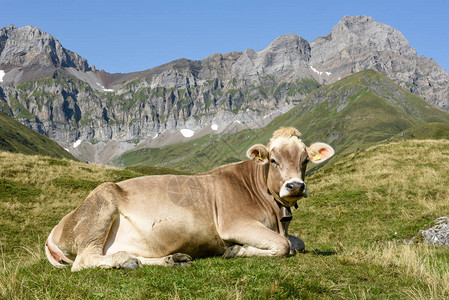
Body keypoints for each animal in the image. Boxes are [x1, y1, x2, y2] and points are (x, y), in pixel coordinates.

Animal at [45, 127, 332, 270]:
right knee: (83, 261)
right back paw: (124, 261)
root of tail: (57, 228)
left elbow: (298, 243)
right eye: (273, 160)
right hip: (101, 206)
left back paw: (166, 259)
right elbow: (283, 247)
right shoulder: (234, 223)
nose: (295, 186)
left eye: (305, 160)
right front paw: (236, 250)